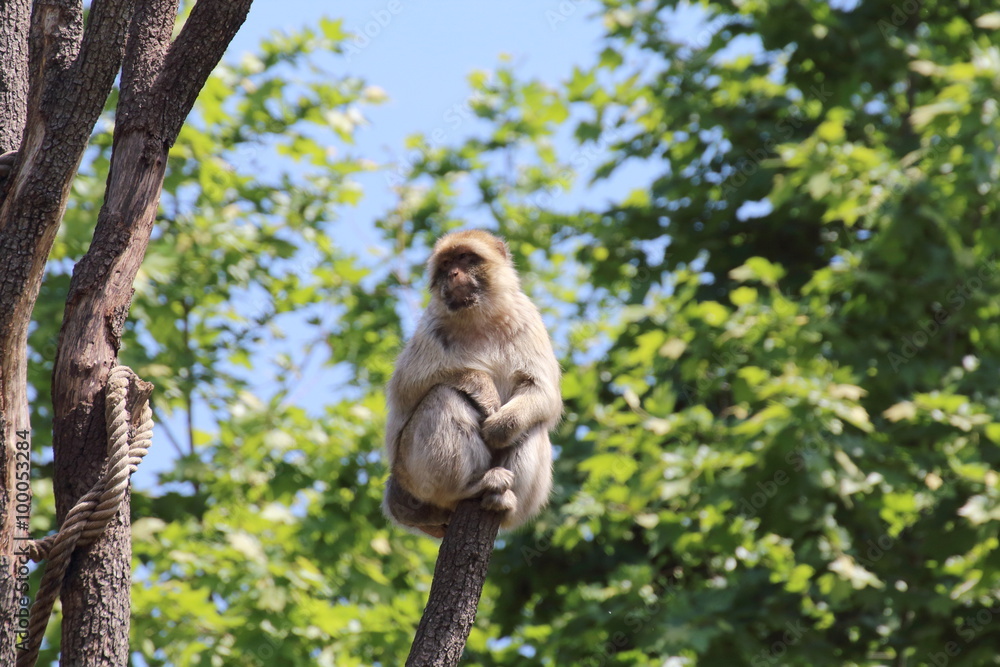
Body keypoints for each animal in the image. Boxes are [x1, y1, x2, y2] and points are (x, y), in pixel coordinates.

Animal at [383, 230, 562, 538]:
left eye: (465, 257)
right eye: (446, 264)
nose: (453, 273)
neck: (478, 317)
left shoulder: (527, 316)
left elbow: (541, 390)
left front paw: (500, 428)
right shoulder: (431, 325)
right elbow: (406, 386)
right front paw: (483, 387)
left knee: (533, 424)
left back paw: (503, 504)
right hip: (411, 475)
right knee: (443, 395)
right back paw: (469, 488)